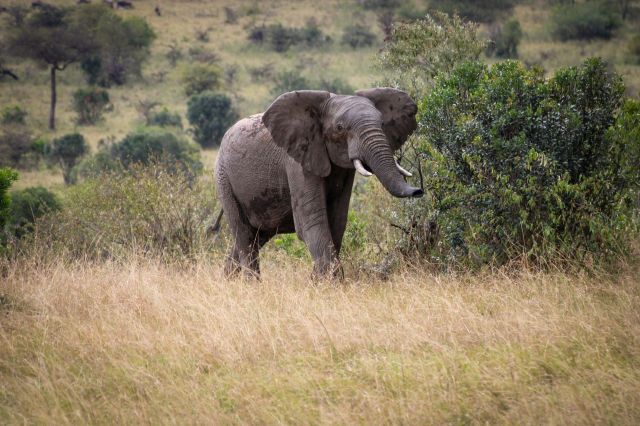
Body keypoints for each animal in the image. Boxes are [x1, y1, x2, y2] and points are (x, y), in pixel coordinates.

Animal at [214, 88, 423, 279]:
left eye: (382, 124)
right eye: (339, 128)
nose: (419, 191)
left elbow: (337, 221)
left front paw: (318, 281)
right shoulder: (298, 161)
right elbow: (312, 220)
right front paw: (329, 282)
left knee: (258, 235)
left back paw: (229, 282)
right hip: (224, 178)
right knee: (244, 235)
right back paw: (251, 284)